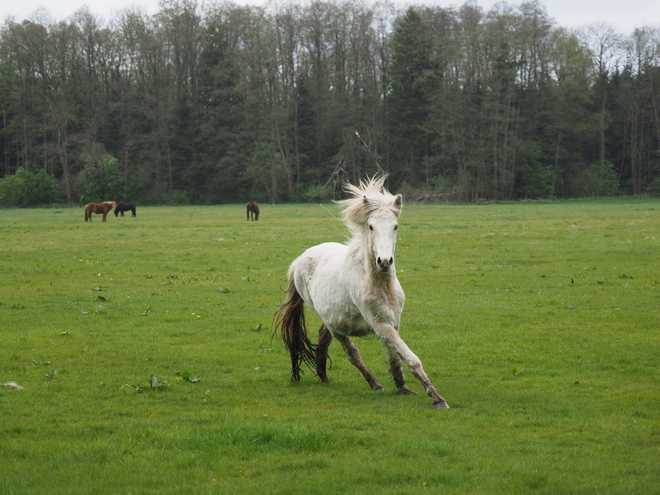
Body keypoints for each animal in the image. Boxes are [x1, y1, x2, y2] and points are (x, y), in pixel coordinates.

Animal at [274, 176, 448, 408]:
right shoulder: (381, 325)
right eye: (371, 226)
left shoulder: (393, 323)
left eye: (395, 226)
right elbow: (411, 359)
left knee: (323, 339)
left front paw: (403, 388)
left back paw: (324, 376)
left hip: (333, 319)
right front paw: (437, 398)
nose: (385, 261)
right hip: (335, 326)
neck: (379, 284)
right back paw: (374, 384)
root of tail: (300, 259)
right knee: (351, 353)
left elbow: (395, 357)